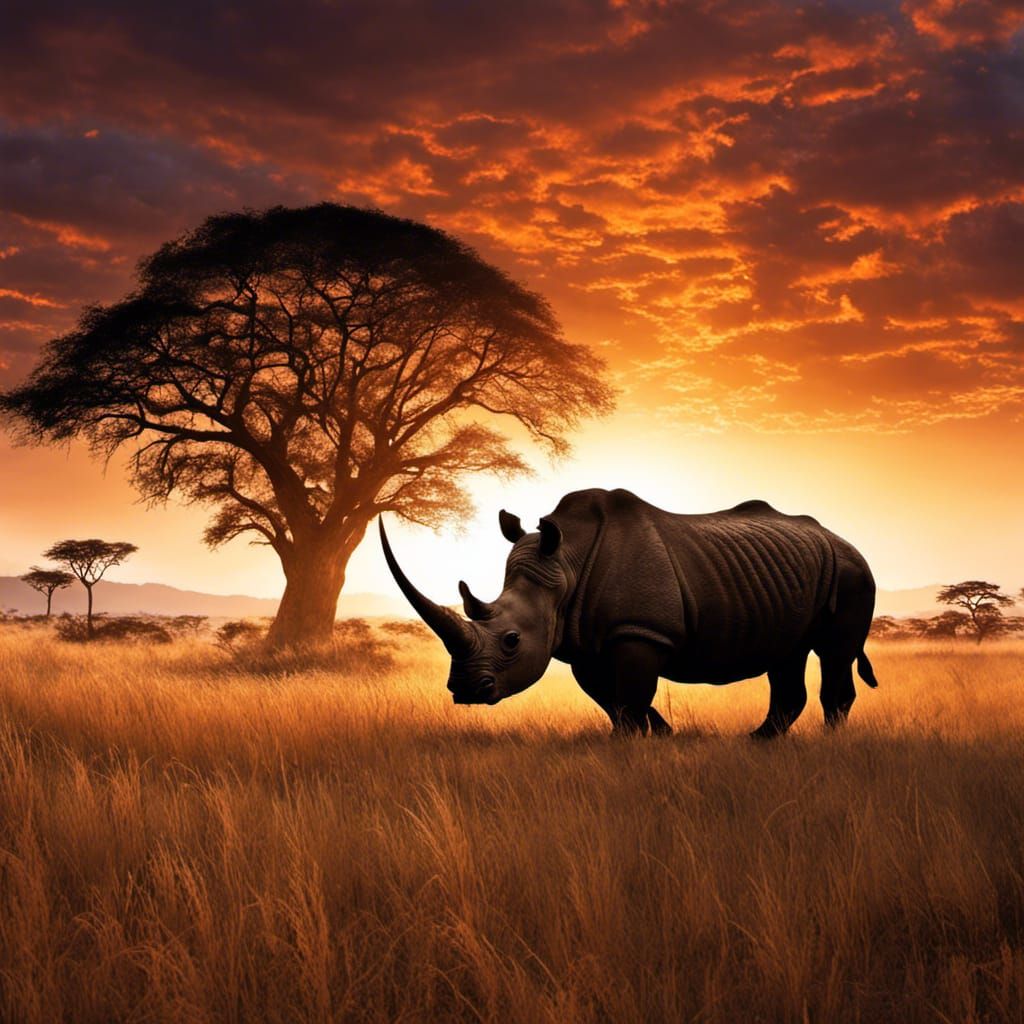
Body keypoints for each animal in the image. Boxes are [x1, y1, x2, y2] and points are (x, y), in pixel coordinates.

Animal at [379, 488, 878, 737]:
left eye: (511, 640)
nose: (464, 690)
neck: (562, 566)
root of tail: (843, 540)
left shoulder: (638, 631)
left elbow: (632, 693)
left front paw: (634, 743)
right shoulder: (584, 639)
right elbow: (610, 697)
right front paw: (659, 734)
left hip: (852, 572)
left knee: (833, 654)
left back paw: (828, 744)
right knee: (787, 655)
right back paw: (758, 743)